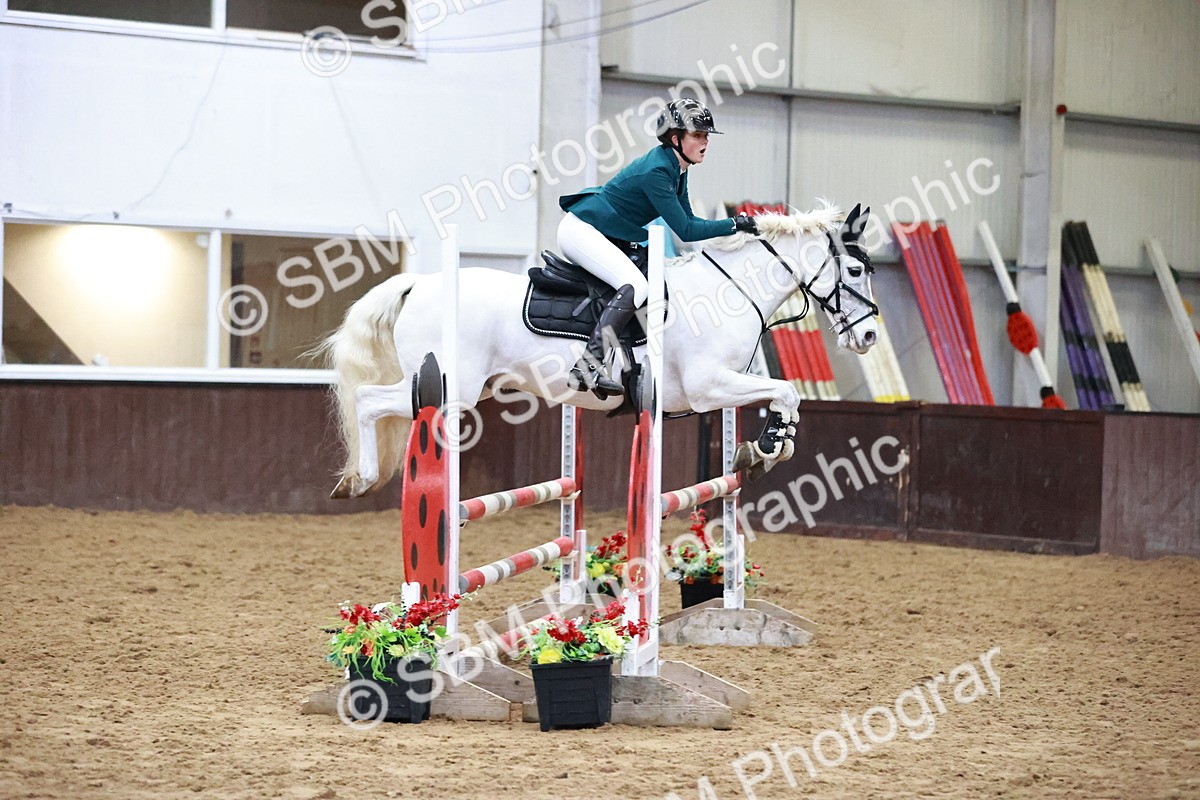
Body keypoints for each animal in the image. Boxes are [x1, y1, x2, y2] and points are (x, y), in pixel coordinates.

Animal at [321, 202, 880, 499]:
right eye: (854, 270)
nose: (870, 337)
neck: (729, 289)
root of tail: (418, 283)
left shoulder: (719, 388)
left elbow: (786, 398)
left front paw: (767, 448)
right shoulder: (707, 387)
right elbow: (786, 391)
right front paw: (766, 447)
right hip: (448, 386)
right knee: (369, 401)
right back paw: (361, 479)